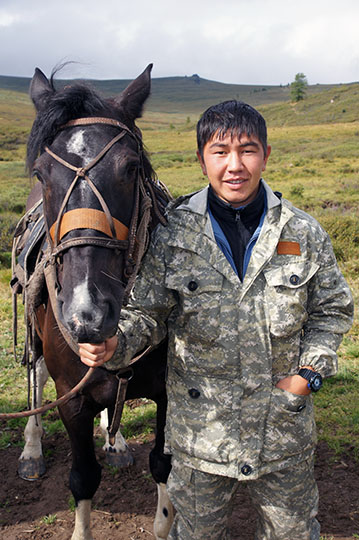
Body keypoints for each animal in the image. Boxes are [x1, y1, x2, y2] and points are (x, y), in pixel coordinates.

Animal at [23, 66, 174, 540]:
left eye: (131, 167)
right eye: (41, 173)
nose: (87, 316)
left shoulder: (169, 391)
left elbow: (162, 465)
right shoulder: (70, 401)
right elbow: (83, 478)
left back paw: (117, 440)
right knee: (34, 372)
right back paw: (30, 450)